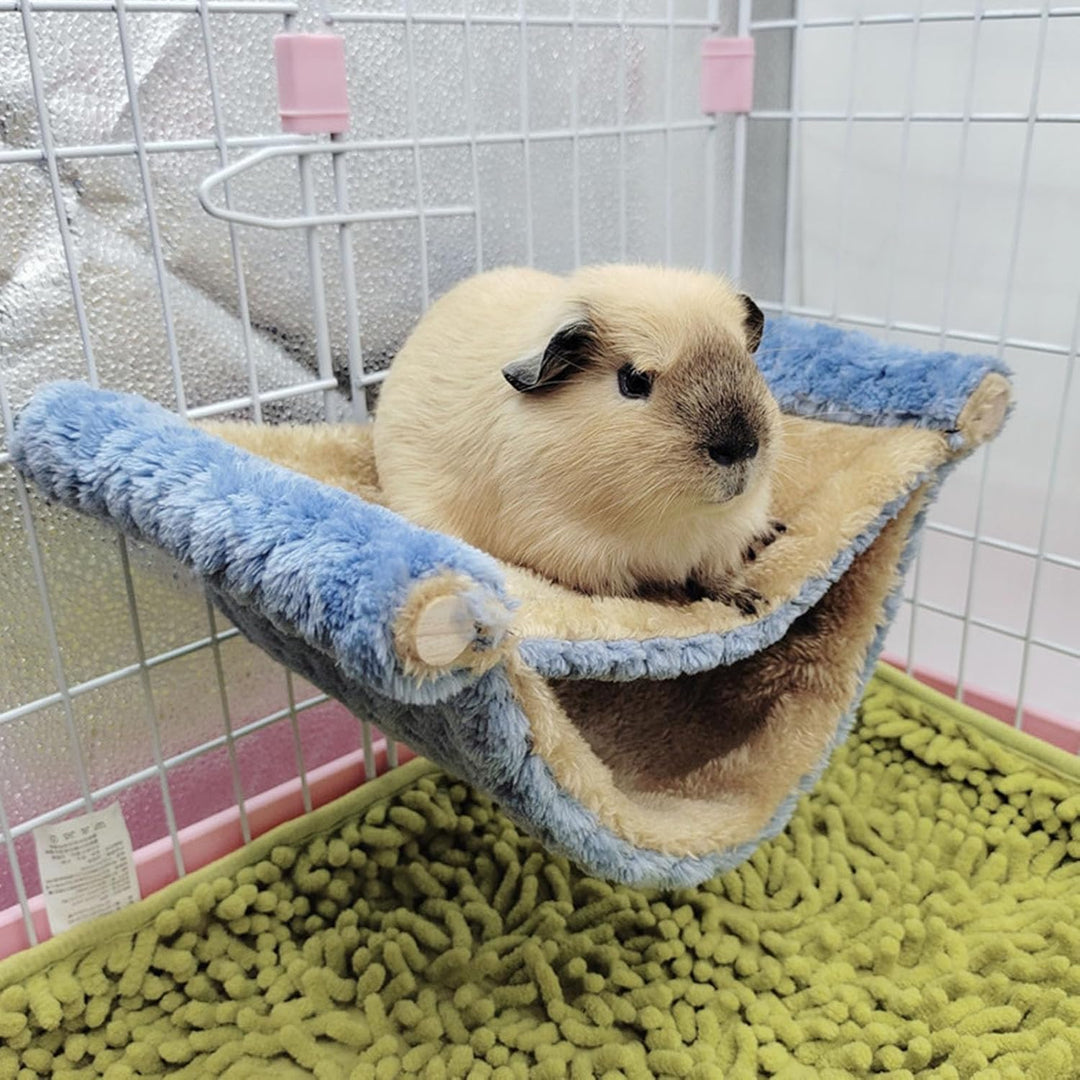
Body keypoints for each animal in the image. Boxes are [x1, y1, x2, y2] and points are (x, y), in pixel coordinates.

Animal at [373, 265, 784, 611]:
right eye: (634, 381)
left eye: (746, 361)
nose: (740, 447)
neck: (677, 521)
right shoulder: (573, 550)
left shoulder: (723, 538)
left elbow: (715, 574)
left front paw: (750, 600)